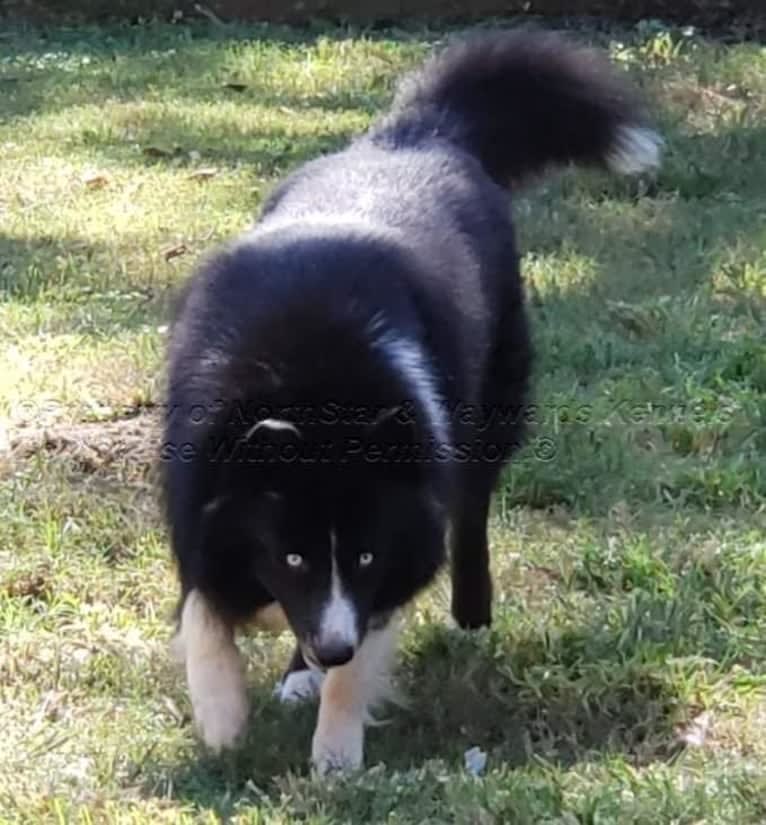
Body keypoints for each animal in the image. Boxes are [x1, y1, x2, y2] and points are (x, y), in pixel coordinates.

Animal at [160, 27, 660, 772]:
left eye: (366, 557)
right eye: (293, 558)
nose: (332, 648)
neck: (312, 386)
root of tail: (417, 133)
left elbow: (376, 621)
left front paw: (335, 758)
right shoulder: (203, 476)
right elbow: (203, 604)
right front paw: (224, 724)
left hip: (492, 395)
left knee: (472, 506)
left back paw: (470, 619)